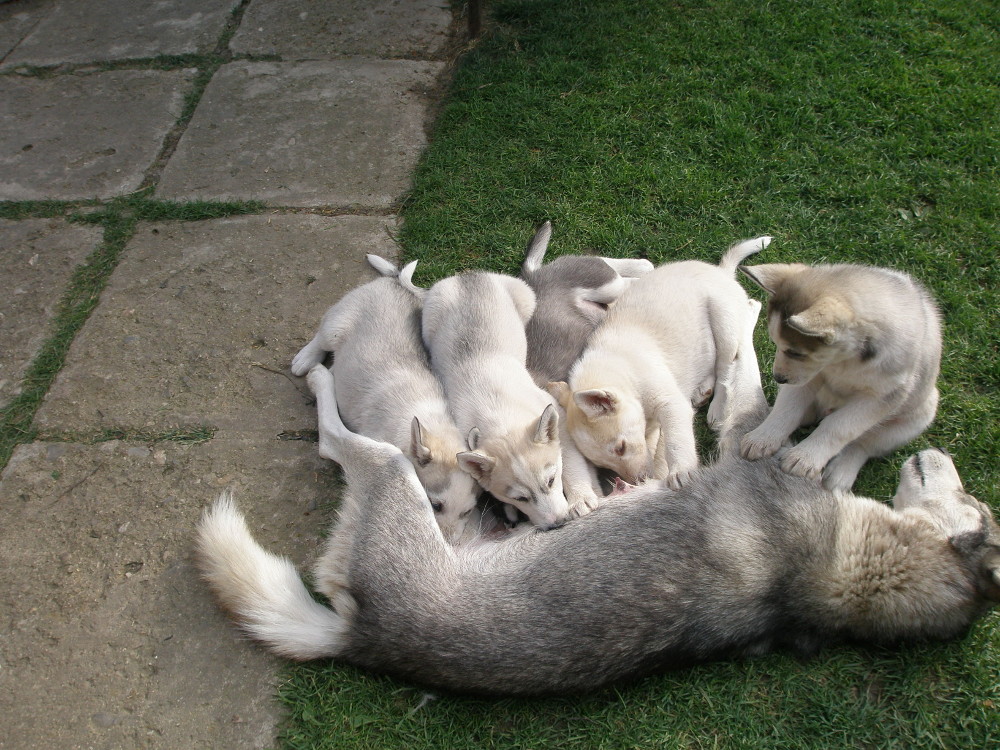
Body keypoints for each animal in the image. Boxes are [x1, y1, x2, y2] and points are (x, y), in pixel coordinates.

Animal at [197, 301, 1000, 696]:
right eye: (980, 499)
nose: (945, 457)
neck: (845, 567)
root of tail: (363, 638)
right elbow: (755, 387)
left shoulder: (740, 444)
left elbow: (746, 389)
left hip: (392, 472)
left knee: (335, 433)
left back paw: (320, 378)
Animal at [289, 256, 480, 543]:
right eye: (435, 506)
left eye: (467, 512)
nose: (447, 544)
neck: (431, 422)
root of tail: (395, 282)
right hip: (335, 325)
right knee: (320, 339)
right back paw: (305, 359)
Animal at [418, 270, 570, 527]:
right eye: (520, 498)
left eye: (551, 480)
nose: (558, 523)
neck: (499, 415)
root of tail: (467, 275)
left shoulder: (550, 403)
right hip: (428, 322)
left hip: (525, 297)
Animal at [549, 236, 771, 488]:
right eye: (604, 464)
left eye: (620, 447)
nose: (639, 481)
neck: (622, 371)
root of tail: (721, 271)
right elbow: (654, 444)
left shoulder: (671, 404)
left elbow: (675, 440)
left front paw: (681, 471)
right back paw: (703, 389)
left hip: (725, 323)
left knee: (726, 367)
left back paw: (717, 406)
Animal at [738, 262, 942, 491]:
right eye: (776, 344)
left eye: (796, 352)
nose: (778, 378)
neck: (844, 361)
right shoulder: (809, 377)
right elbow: (787, 409)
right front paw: (763, 438)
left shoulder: (881, 397)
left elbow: (840, 427)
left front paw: (805, 458)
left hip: (917, 416)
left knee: (863, 444)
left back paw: (840, 472)